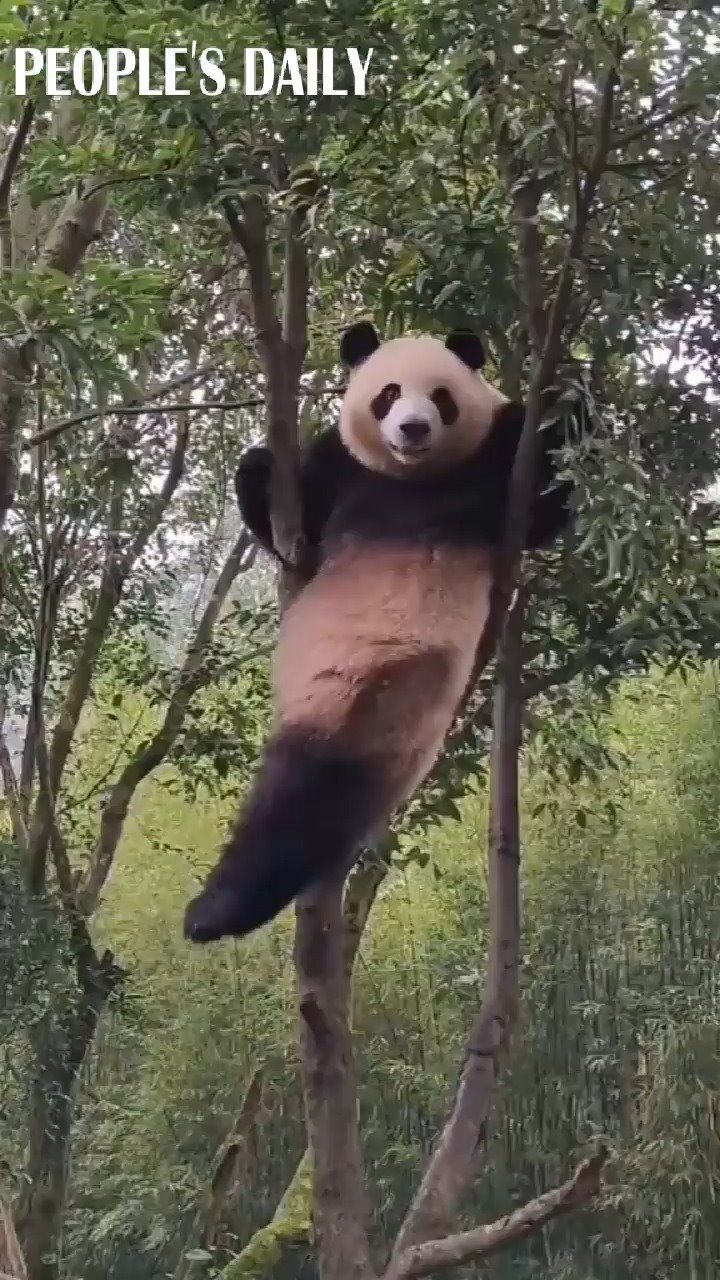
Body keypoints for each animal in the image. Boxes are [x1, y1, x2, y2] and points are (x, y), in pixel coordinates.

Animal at [184, 321, 584, 944]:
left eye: (441, 397)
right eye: (389, 394)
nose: (414, 428)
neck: (410, 477)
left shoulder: (496, 464)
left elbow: (544, 508)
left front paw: (566, 401)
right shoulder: (339, 469)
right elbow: (290, 529)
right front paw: (256, 466)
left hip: (382, 694)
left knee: (305, 802)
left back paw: (216, 910)